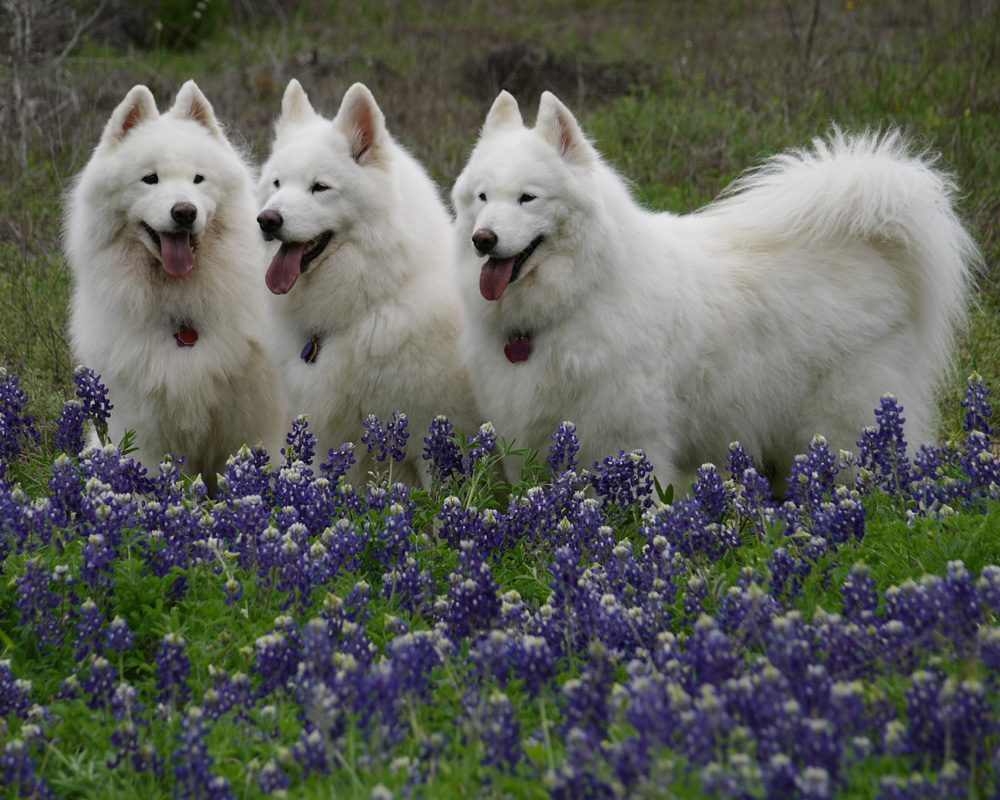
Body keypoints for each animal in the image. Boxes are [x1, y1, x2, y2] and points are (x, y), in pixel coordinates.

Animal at [65, 83, 290, 494]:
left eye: (198, 179)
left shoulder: (254, 423)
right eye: (150, 179)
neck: (182, 308)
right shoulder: (145, 431)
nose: (184, 211)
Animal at [456, 90, 984, 484]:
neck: (578, 296)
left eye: (527, 198)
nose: (483, 239)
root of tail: (871, 240)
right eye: (482, 197)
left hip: (846, 427)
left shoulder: (630, 440)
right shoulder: (530, 440)